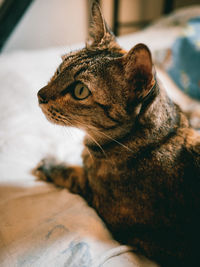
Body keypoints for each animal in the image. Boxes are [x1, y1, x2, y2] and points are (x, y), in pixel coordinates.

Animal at [32, 2, 200, 267]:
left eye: (80, 91)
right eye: (60, 69)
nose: (40, 94)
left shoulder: (100, 203)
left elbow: (73, 175)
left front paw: (50, 165)